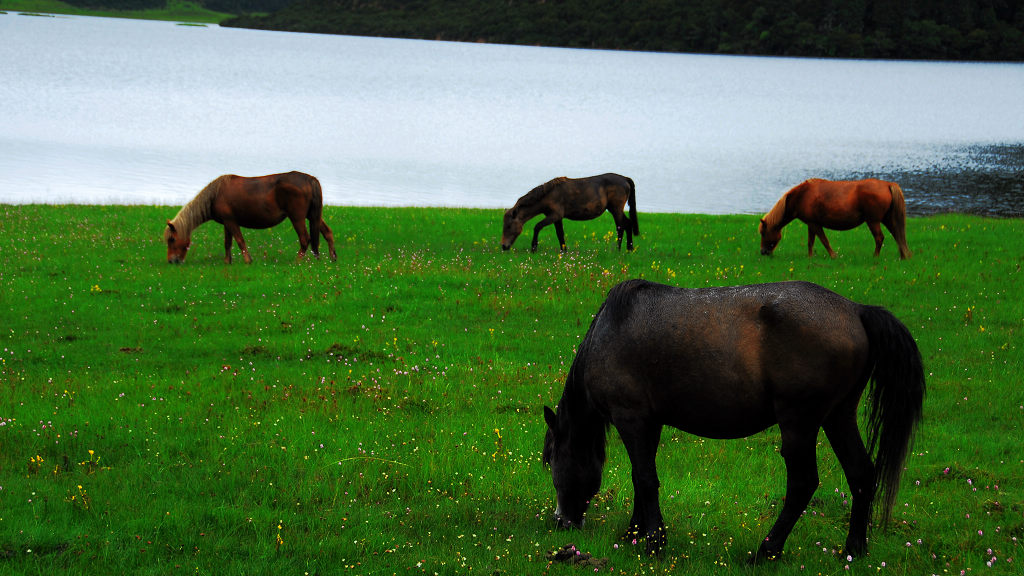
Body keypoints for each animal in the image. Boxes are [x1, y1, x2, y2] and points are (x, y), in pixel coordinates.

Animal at [160, 169, 335, 261]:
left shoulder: (231, 221)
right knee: (327, 233)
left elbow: (240, 241)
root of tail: (310, 179)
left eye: (172, 239)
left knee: (305, 239)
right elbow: (227, 243)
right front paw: (227, 262)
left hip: (297, 217)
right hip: (313, 216)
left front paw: (247, 261)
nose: (172, 261)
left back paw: (298, 261)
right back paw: (332, 258)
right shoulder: (227, 223)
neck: (215, 195)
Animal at [499, 171, 634, 250]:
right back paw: (628, 248)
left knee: (621, 227)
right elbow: (560, 234)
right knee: (627, 224)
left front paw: (534, 247)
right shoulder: (556, 218)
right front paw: (563, 251)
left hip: (616, 209)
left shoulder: (555, 215)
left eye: (509, 226)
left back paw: (619, 249)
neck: (549, 194)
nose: (503, 246)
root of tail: (624, 178)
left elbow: (537, 227)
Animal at [544, 278, 929, 561]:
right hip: (838, 417)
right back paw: (853, 550)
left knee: (803, 483)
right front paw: (635, 534)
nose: (562, 522)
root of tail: (856, 310)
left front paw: (653, 542)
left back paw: (767, 551)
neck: (611, 330)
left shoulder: (633, 420)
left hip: (800, 424)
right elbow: (643, 480)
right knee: (861, 474)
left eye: (552, 461)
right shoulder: (649, 425)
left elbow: (645, 479)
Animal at [761, 178, 913, 259]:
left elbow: (824, 241)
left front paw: (833, 256)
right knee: (897, 235)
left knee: (880, 238)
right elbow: (811, 242)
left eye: (763, 233)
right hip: (887, 219)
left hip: (873, 221)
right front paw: (810, 257)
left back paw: (875, 256)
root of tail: (888, 184)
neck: (802, 196)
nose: (763, 252)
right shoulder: (811, 224)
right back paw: (903, 256)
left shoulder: (815, 224)